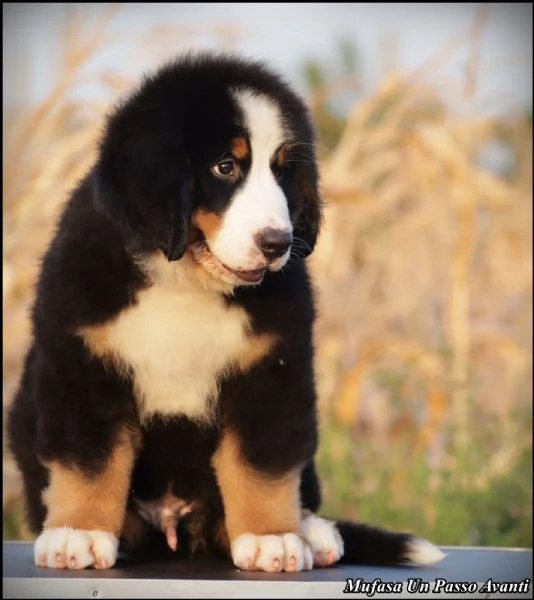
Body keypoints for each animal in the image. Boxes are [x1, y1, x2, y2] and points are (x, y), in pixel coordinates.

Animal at [7, 54, 448, 576]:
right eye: (226, 166)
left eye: (283, 171)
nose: (277, 243)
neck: (185, 281)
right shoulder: (82, 363)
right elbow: (90, 459)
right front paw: (79, 531)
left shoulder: (271, 371)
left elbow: (262, 463)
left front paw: (271, 538)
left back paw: (314, 533)